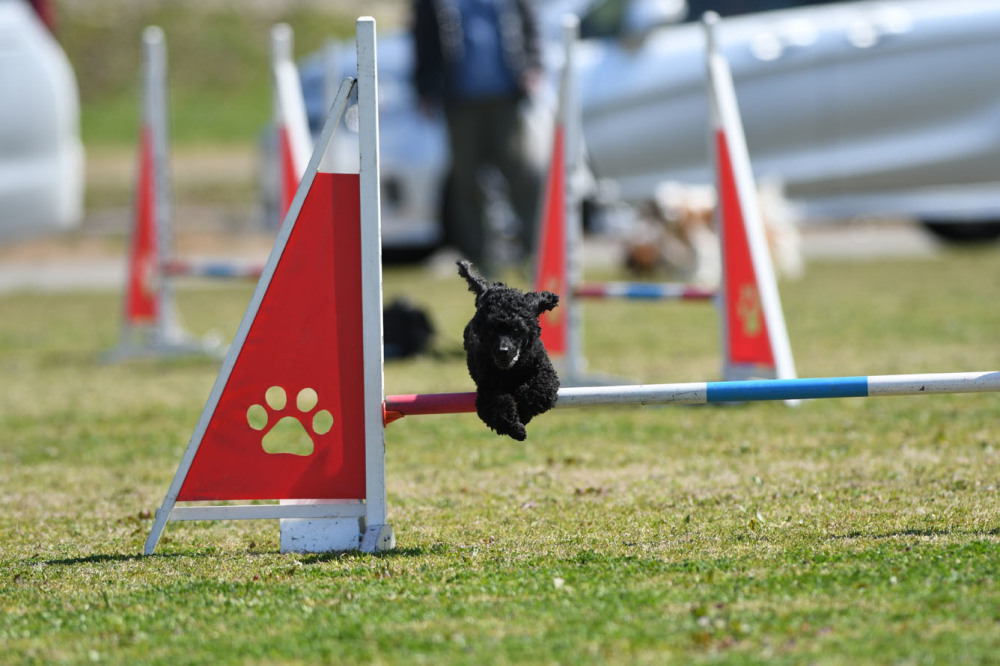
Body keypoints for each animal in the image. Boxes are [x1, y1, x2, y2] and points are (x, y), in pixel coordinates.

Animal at [458, 260, 560, 440]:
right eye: (491, 331)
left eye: (517, 330)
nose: (503, 350)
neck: (512, 370)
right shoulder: (488, 388)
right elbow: (498, 407)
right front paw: (516, 429)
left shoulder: (544, 372)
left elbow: (538, 391)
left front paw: (524, 411)